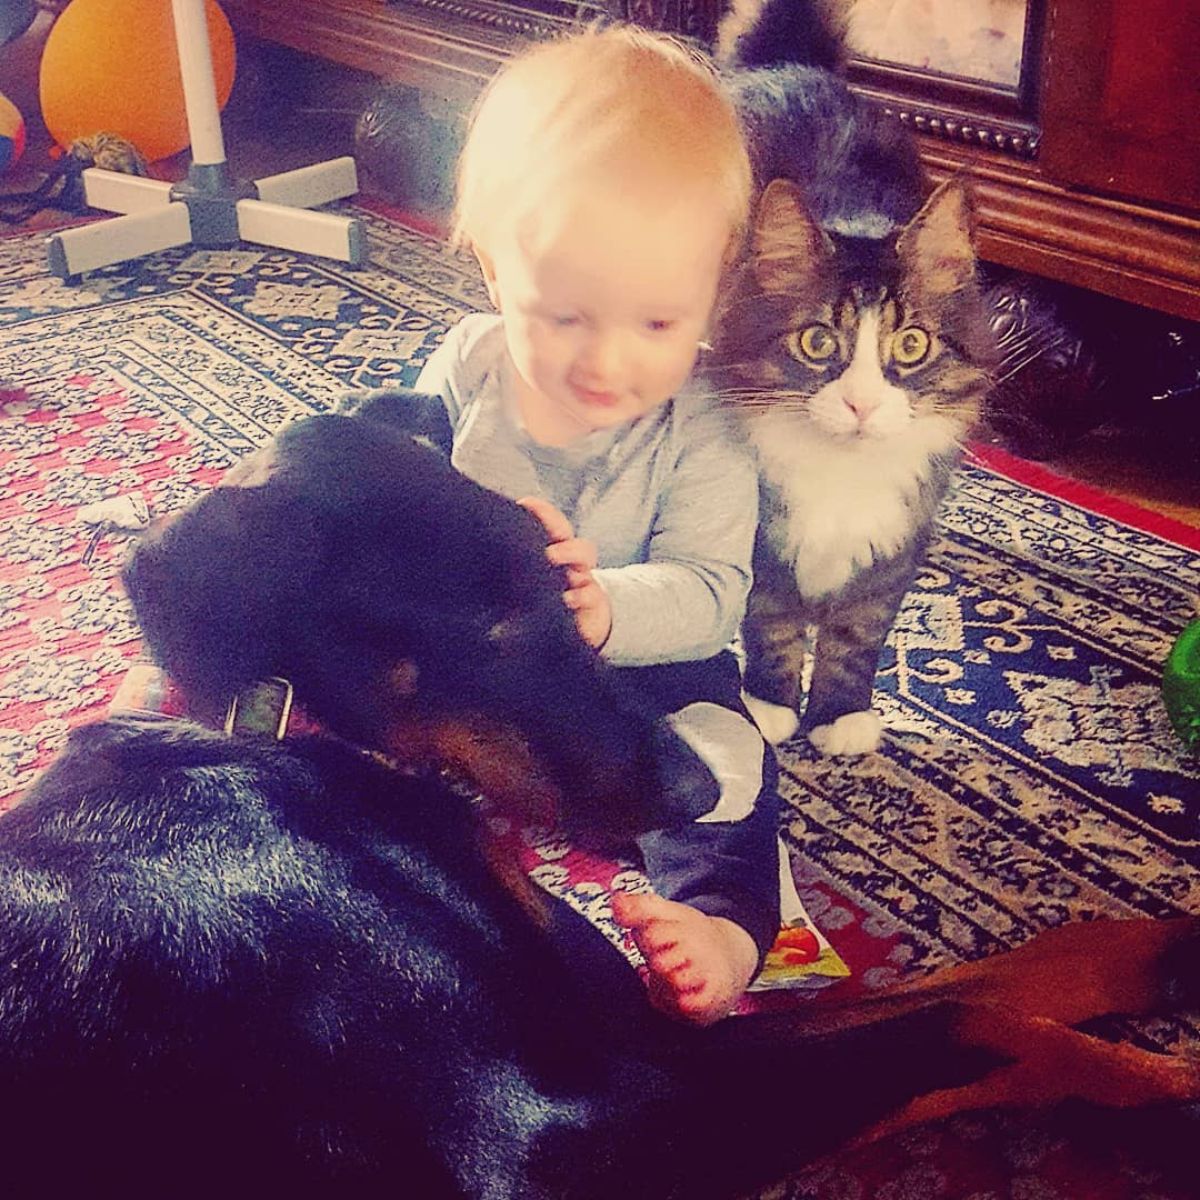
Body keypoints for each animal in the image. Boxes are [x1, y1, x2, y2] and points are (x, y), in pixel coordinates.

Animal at [2, 408, 1200, 1195]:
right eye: (490, 626)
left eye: (572, 585)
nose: (705, 788)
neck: (270, 737)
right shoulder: (575, 1136)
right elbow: (978, 1020)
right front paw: (1177, 1098)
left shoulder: (615, 1023)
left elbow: (1003, 978)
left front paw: (1168, 947)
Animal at [700, 0, 993, 748]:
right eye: (817, 341)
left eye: (911, 345)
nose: (861, 403)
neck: (840, 472)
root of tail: (792, 64)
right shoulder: (761, 536)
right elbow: (773, 624)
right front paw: (769, 707)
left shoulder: (894, 547)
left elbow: (856, 639)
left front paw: (839, 717)